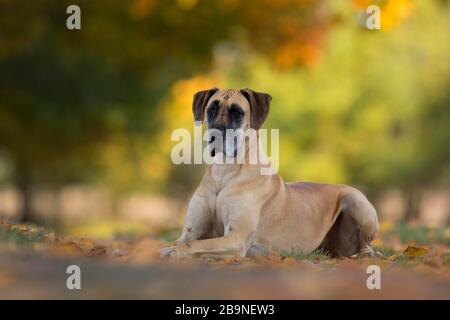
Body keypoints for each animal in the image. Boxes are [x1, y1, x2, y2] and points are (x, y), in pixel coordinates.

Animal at [162, 88, 380, 260]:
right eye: (211, 109)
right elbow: (176, 241)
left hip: (356, 200)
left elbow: (193, 244)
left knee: (365, 247)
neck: (225, 171)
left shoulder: (236, 238)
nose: (215, 134)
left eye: (237, 112)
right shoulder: (191, 232)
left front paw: (175, 252)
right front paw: (164, 248)